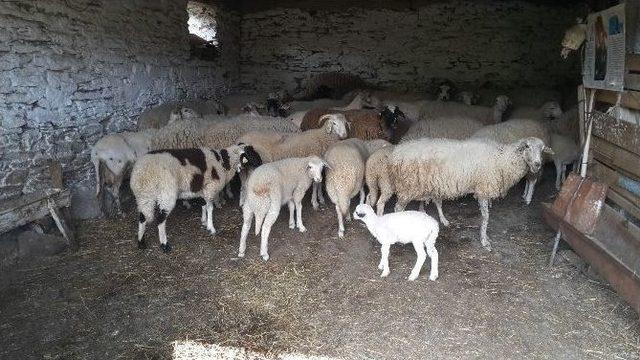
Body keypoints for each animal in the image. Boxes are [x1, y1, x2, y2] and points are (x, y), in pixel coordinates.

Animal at [388, 136, 552, 252]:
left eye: (543, 149)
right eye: (527, 146)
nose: (537, 165)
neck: (503, 159)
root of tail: (396, 153)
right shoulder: (483, 189)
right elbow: (486, 217)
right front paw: (484, 240)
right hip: (408, 187)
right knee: (398, 208)